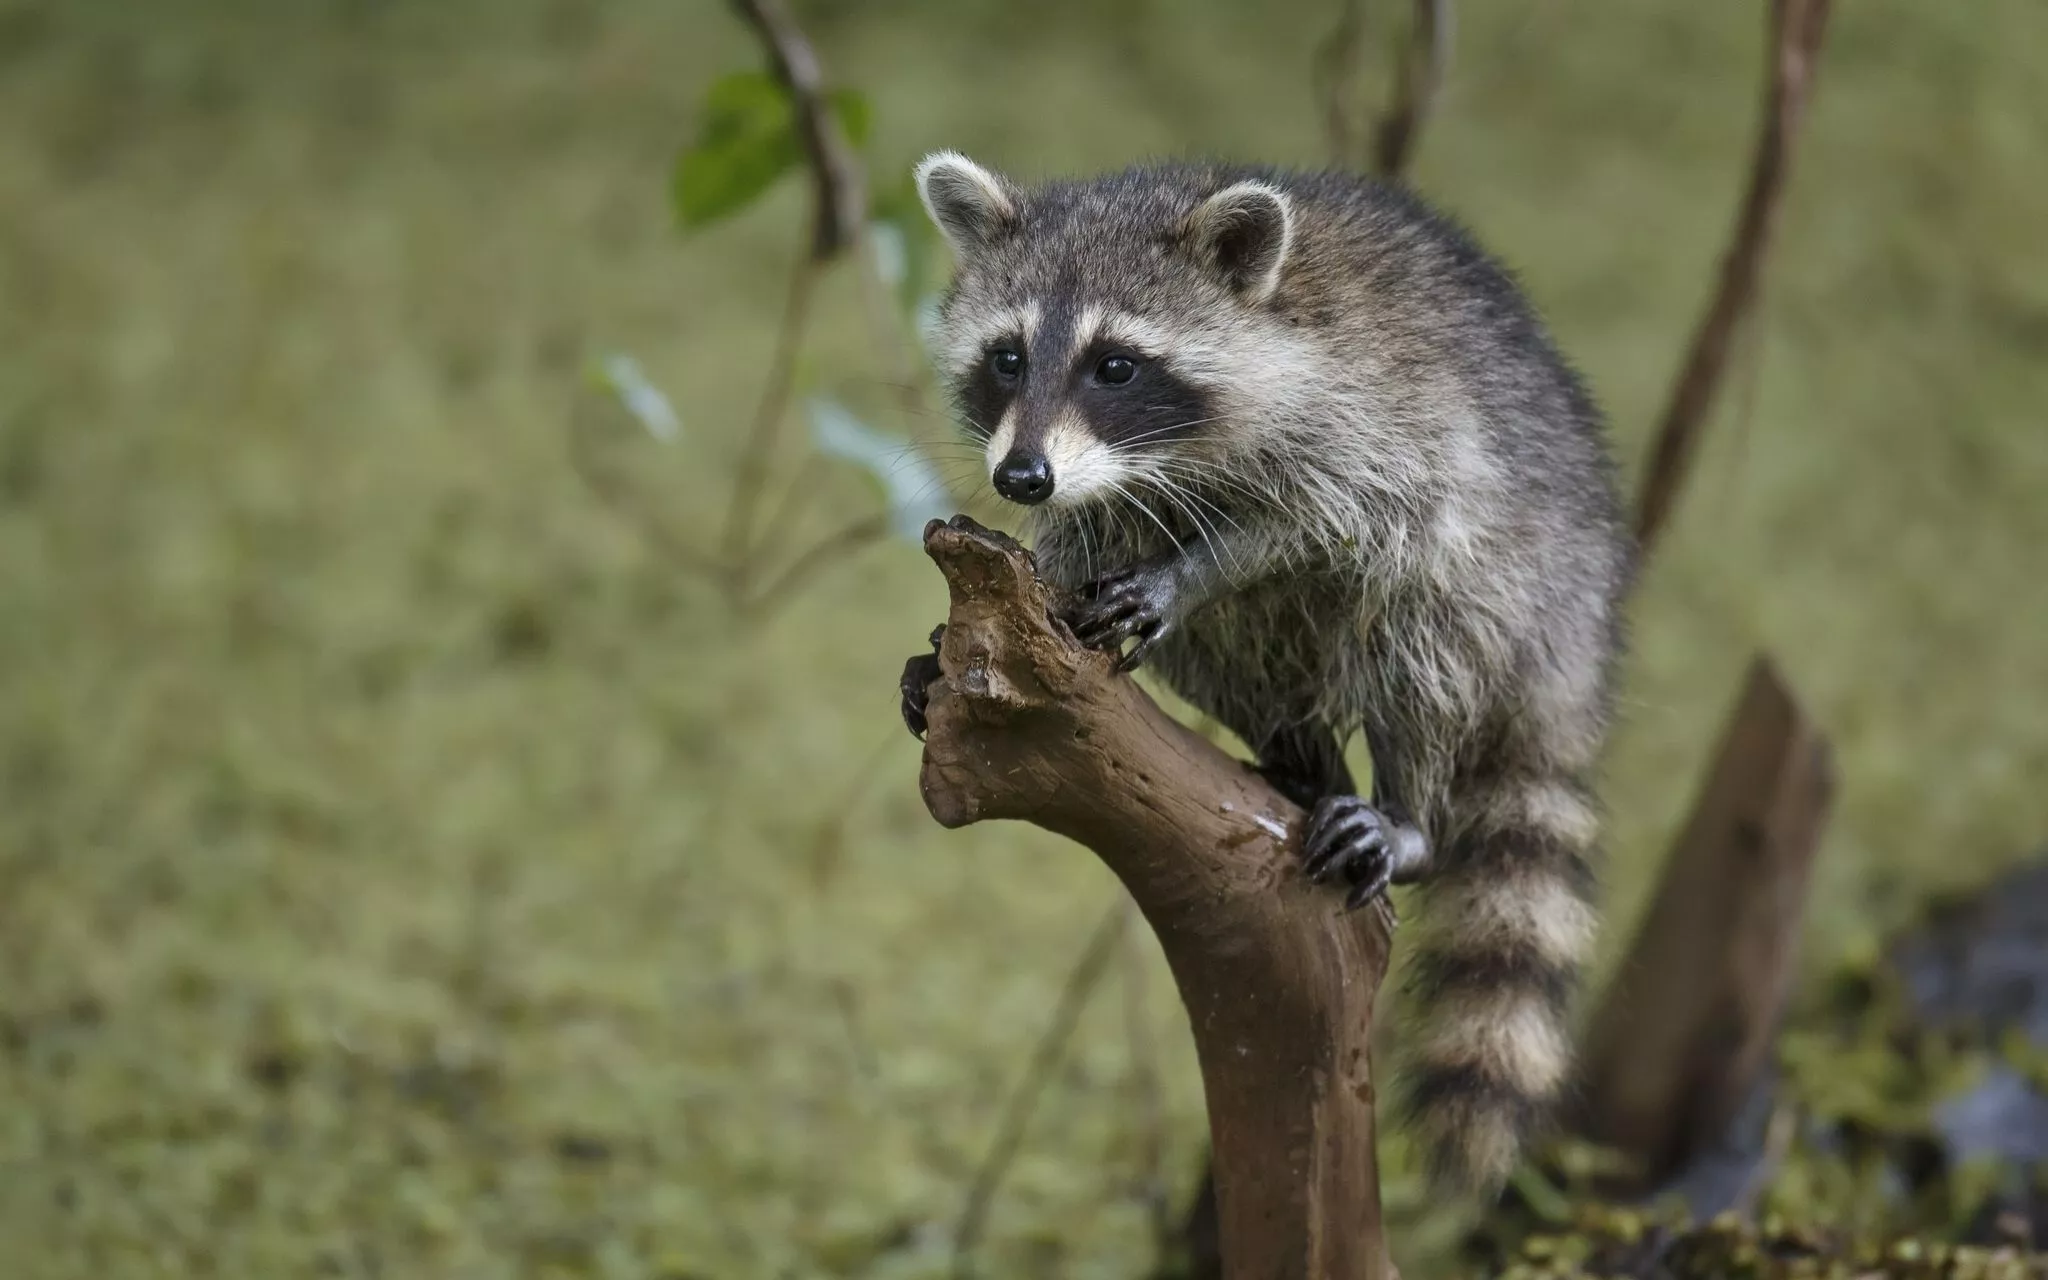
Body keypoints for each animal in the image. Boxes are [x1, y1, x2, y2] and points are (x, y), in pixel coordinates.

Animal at [897, 152, 1633, 1193]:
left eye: (1114, 365)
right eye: (1007, 358)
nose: (1021, 477)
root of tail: (1581, 641)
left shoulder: (1372, 422)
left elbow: (1327, 527)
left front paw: (1190, 571)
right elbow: (1082, 543)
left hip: (1515, 582)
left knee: (1417, 633)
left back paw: (1406, 810)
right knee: (1225, 658)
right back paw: (1301, 756)